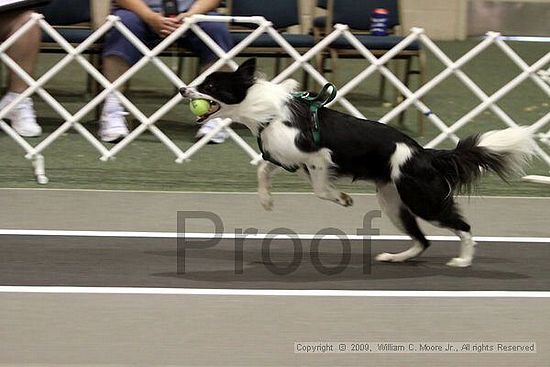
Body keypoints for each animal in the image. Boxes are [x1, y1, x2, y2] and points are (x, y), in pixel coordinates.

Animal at [180, 59, 536, 268]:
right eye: (199, 81)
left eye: (209, 86)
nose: (183, 89)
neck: (265, 111)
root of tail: (425, 154)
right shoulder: (286, 157)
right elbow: (263, 169)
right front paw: (266, 201)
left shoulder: (318, 157)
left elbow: (321, 189)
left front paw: (342, 198)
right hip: (394, 203)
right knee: (423, 240)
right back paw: (396, 257)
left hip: (422, 200)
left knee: (462, 226)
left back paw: (463, 260)